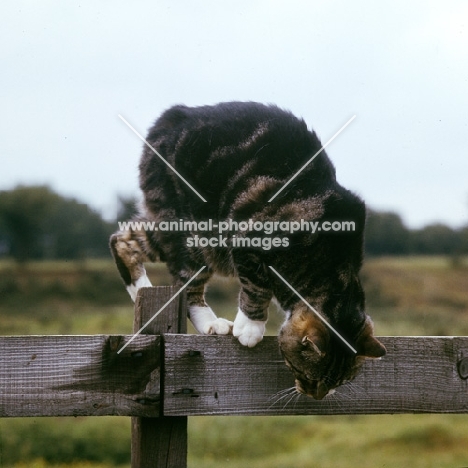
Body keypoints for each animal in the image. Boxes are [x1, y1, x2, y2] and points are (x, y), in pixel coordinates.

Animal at [111, 101, 386, 398]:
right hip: (193, 235)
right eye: (308, 375)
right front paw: (251, 328)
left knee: (122, 238)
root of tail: (174, 114)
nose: (316, 396)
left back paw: (139, 287)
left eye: (339, 382)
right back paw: (204, 320)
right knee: (187, 285)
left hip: (170, 228)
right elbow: (256, 287)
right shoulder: (248, 240)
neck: (326, 264)